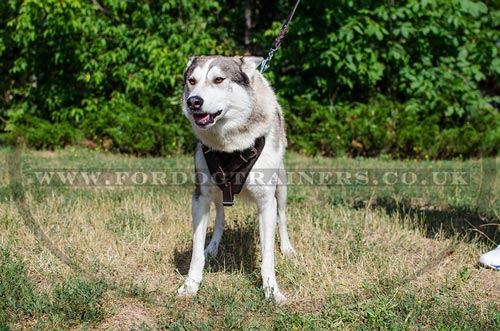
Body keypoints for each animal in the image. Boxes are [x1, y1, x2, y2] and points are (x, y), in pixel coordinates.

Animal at [179, 55, 296, 306]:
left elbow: (268, 256)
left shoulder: (266, 202)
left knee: (282, 217)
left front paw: (272, 292)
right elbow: (195, 252)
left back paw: (287, 248)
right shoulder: (200, 196)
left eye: (218, 79)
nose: (194, 102)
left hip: (281, 185)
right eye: (192, 81)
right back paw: (212, 247)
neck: (230, 145)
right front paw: (191, 285)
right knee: (220, 218)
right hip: (217, 192)